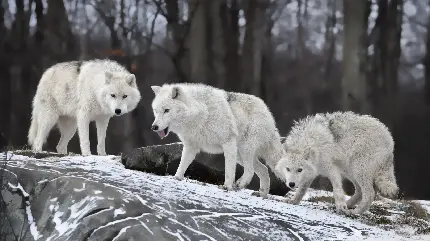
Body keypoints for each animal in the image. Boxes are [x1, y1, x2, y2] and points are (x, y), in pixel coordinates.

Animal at [150, 83, 286, 196]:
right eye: (156, 111)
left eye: (166, 110)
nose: (154, 127)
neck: (201, 113)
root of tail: (268, 112)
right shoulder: (191, 147)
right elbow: (182, 165)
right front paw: (176, 178)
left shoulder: (228, 143)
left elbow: (229, 170)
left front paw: (227, 186)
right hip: (240, 155)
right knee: (263, 169)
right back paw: (262, 193)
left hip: (244, 149)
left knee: (251, 170)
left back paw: (240, 185)